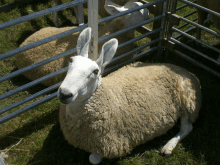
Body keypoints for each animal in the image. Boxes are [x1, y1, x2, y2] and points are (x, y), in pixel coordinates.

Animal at [57, 26, 202, 164]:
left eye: (95, 71)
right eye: (70, 61)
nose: (64, 93)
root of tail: (185, 70)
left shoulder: (111, 145)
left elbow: (93, 159)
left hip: (188, 102)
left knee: (187, 127)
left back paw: (168, 147)